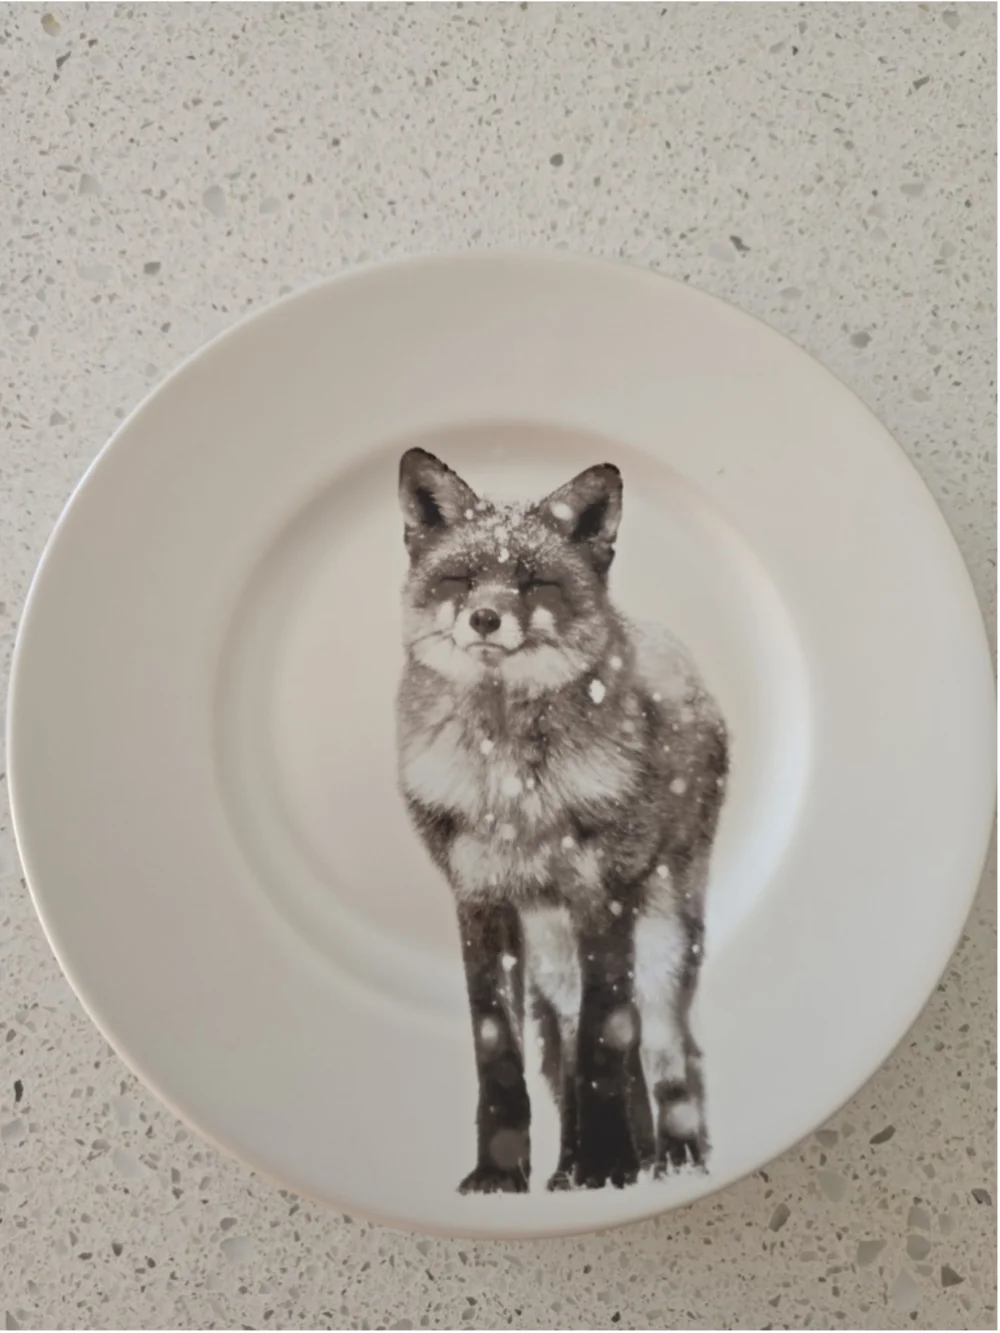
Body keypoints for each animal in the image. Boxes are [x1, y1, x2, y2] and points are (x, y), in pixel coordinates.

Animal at [395, 447, 728, 1193]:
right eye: (462, 577)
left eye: (534, 582)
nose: (485, 618)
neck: (511, 787)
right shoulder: (480, 898)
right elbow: (501, 1051)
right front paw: (500, 1174)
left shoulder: (601, 893)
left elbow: (608, 1040)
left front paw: (610, 1164)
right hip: (552, 950)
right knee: (575, 1040)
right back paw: (575, 1167)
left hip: (660, 932)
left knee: (668, 1045)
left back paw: (670, 1159)